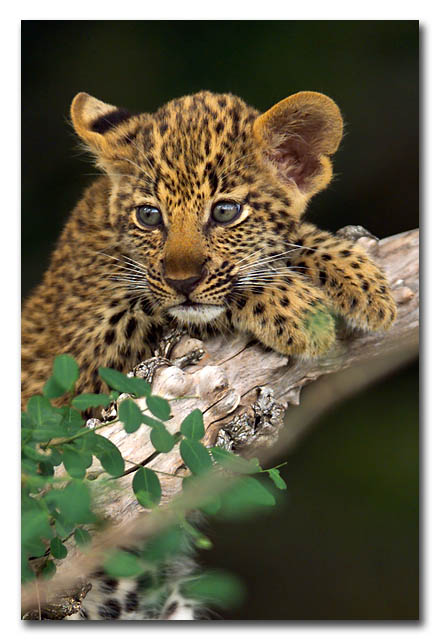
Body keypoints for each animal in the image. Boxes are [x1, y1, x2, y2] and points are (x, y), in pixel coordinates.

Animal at [21, 89, 397, 619]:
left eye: (224, 213)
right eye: (149, 215)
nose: (182, 279)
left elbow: (286, 240)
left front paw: (360, 280)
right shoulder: (73, 373)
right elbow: (159, 300)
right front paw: (296, 308)